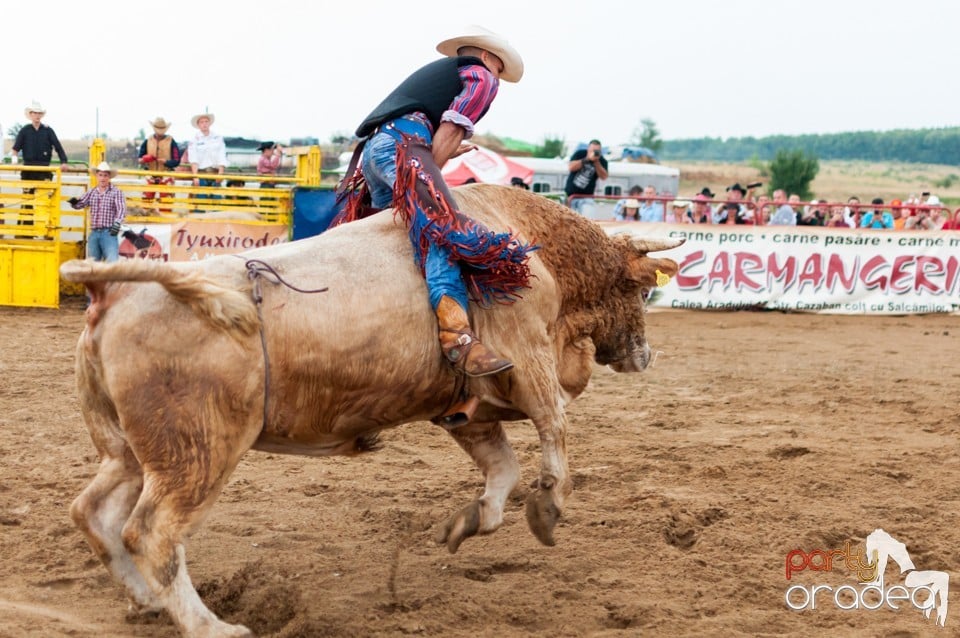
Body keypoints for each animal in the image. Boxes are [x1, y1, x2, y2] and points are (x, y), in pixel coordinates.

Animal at [60, 182, 684, 636]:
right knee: (152, 533)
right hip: (197, 453)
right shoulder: (528, 361)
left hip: (130, 451)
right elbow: (553, 426)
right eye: (642, 291)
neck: (539, 248)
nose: (646, 355)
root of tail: (117, 295)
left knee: (95, 513)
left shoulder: (468, 406)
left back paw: (147, 602)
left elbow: (501, 469)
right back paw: (211, 626)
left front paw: (469, 522)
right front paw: (549, 506)